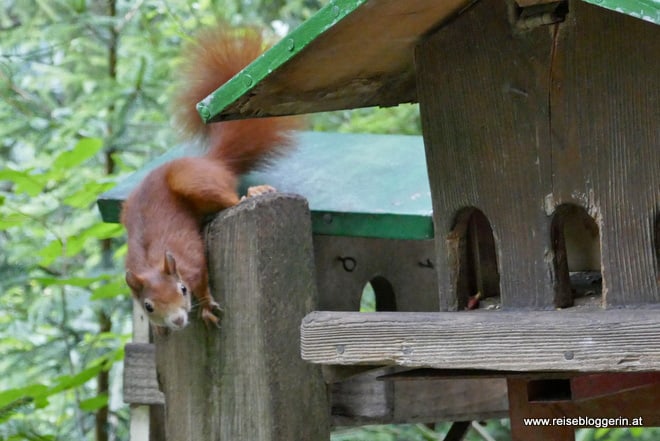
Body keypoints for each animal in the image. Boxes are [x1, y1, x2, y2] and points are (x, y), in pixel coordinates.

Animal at [121, 25, 300, 332]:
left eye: (182, 290)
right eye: (148, 306)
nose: (178, 320)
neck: (152, 261)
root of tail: (211, 161)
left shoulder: (191, 259)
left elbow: (202, 280)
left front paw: (205, 307)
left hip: (196, 182)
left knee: (231, 199)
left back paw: (253, 192)